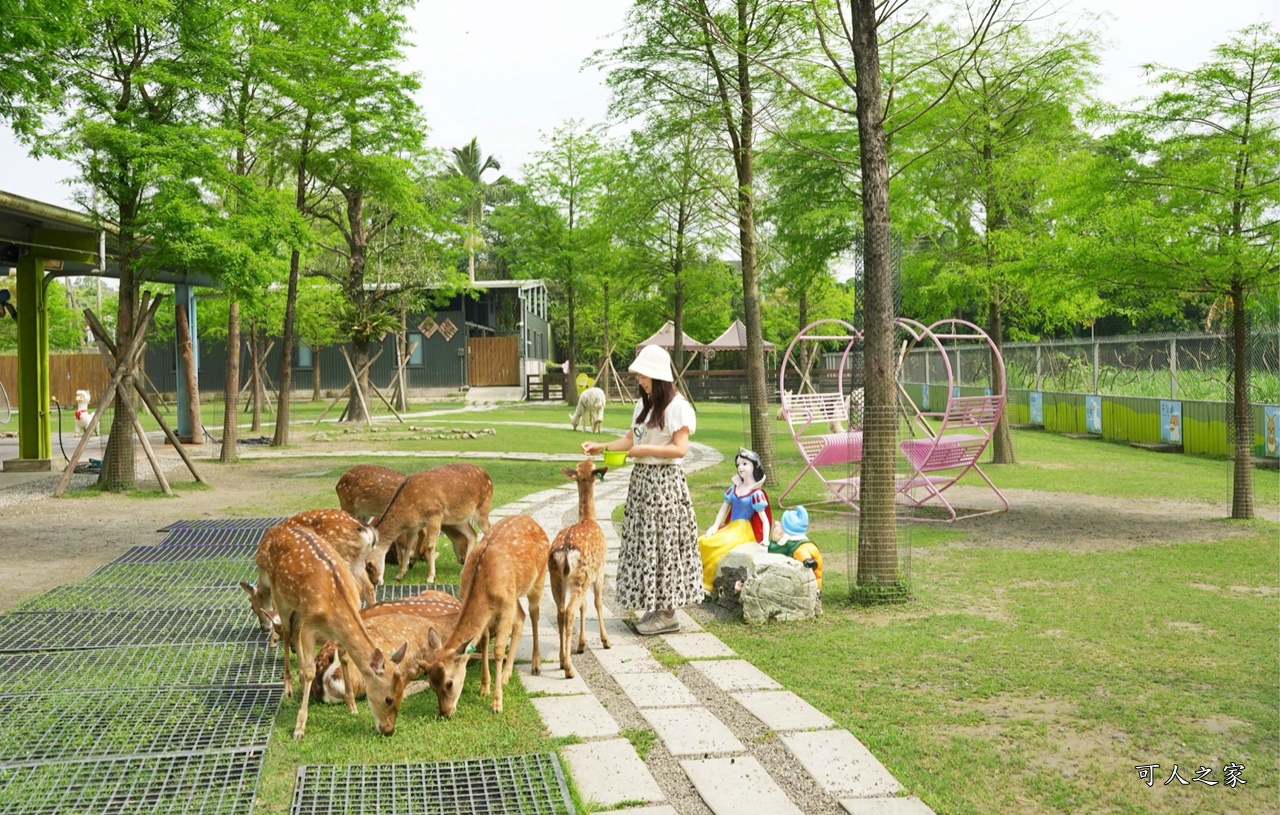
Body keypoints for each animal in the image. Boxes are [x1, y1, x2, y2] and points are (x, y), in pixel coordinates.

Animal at [240, 509, 376, 634]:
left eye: (252, 605)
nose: (264, 627)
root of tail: (367, 530)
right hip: (357, 562)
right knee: (368, 588)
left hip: (344, 559)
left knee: (357, 589)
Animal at [252, 522, 407, 736]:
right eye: (388, 698)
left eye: (402, 695)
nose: (388, 730)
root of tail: (277, 531)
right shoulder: (310, 625)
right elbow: (311, 670)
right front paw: (299, 727)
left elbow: (343, 658)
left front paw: (352, 706)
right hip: (280, 596)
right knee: (286, 632)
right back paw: (289, 687)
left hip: (299, 609)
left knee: (294, 631)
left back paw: (300, 680)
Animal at [422, 511, 547, 716]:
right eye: (432, 685)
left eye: (449, 683)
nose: (445, 713)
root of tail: (533, 520)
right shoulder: (493, 611)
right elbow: (484, 640)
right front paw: (483, 688)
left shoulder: (505, 608)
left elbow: (498, 650)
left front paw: (497, 704)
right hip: (514, 594)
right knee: (521, 617)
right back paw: (506, 674)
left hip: (538, 579)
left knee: (534, 615)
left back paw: (535, 665)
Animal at [547, 458, 611, 680]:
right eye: (592, 467)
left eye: (585, 466)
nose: (590, 459)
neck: (588, 519)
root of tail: (566, 551)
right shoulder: (599, 571)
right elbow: (597, 603)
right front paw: (605, 641)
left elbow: (585, 606)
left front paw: (582, 645)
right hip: (580, 577)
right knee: (569, 612)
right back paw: (569, 668)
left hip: (556, 578)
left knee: (560, 612)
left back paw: (561, 660)